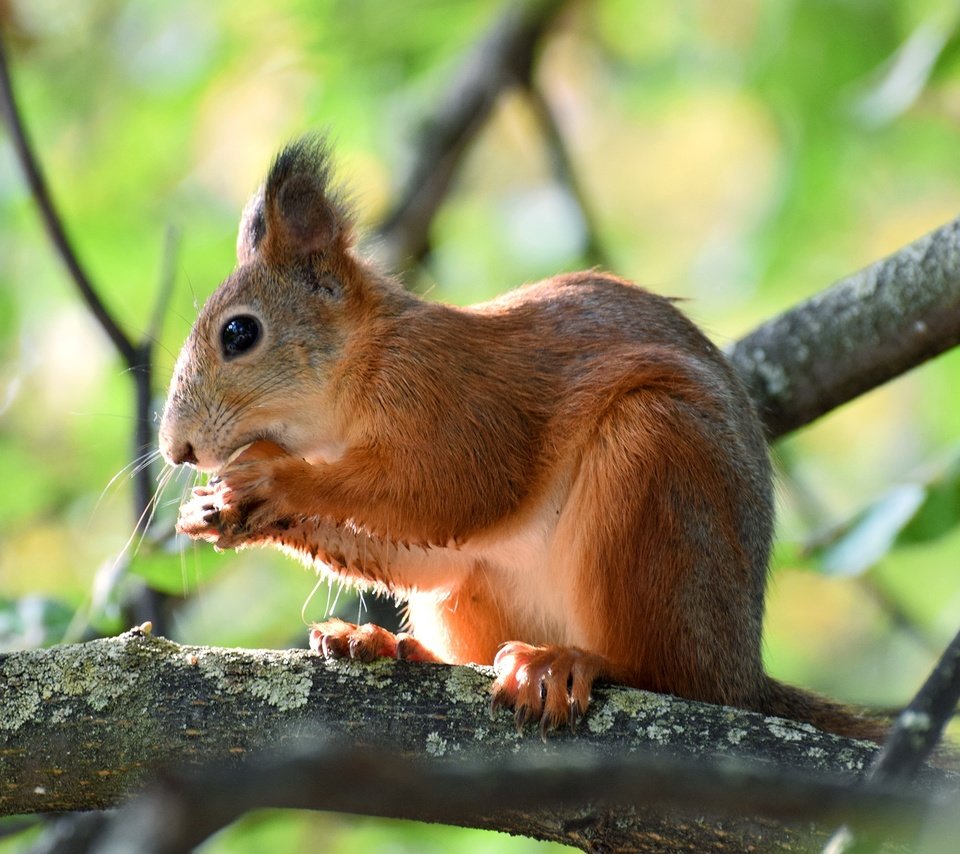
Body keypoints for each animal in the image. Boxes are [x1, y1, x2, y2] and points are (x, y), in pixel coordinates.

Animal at [161, 137, 880, 740]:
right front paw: (216, 508)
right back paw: (384, 643)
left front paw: (270, 478)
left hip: (655, 464)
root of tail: (740, 672)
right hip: (477, 592)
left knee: (663, 674)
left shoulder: (459, 406)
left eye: (239, 333)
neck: (359, 370)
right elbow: (422, 550)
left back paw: (565, 662)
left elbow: (447, 493)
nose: (176, 450)